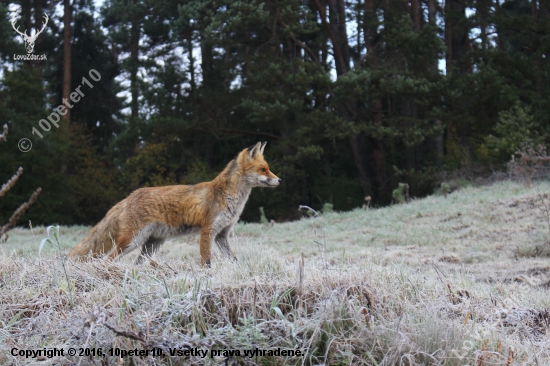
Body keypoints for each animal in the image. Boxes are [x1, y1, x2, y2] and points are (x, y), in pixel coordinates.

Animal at [69, 142, 282, 266]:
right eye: (263, 169)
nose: (279, 180)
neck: (227, 197)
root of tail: (129, 196)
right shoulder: (207, 231)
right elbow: (206, 261)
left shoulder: (222, 235)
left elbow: (234, 260)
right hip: (132, 241)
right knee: (108, 259)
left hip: (151, 245)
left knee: (135, 264)